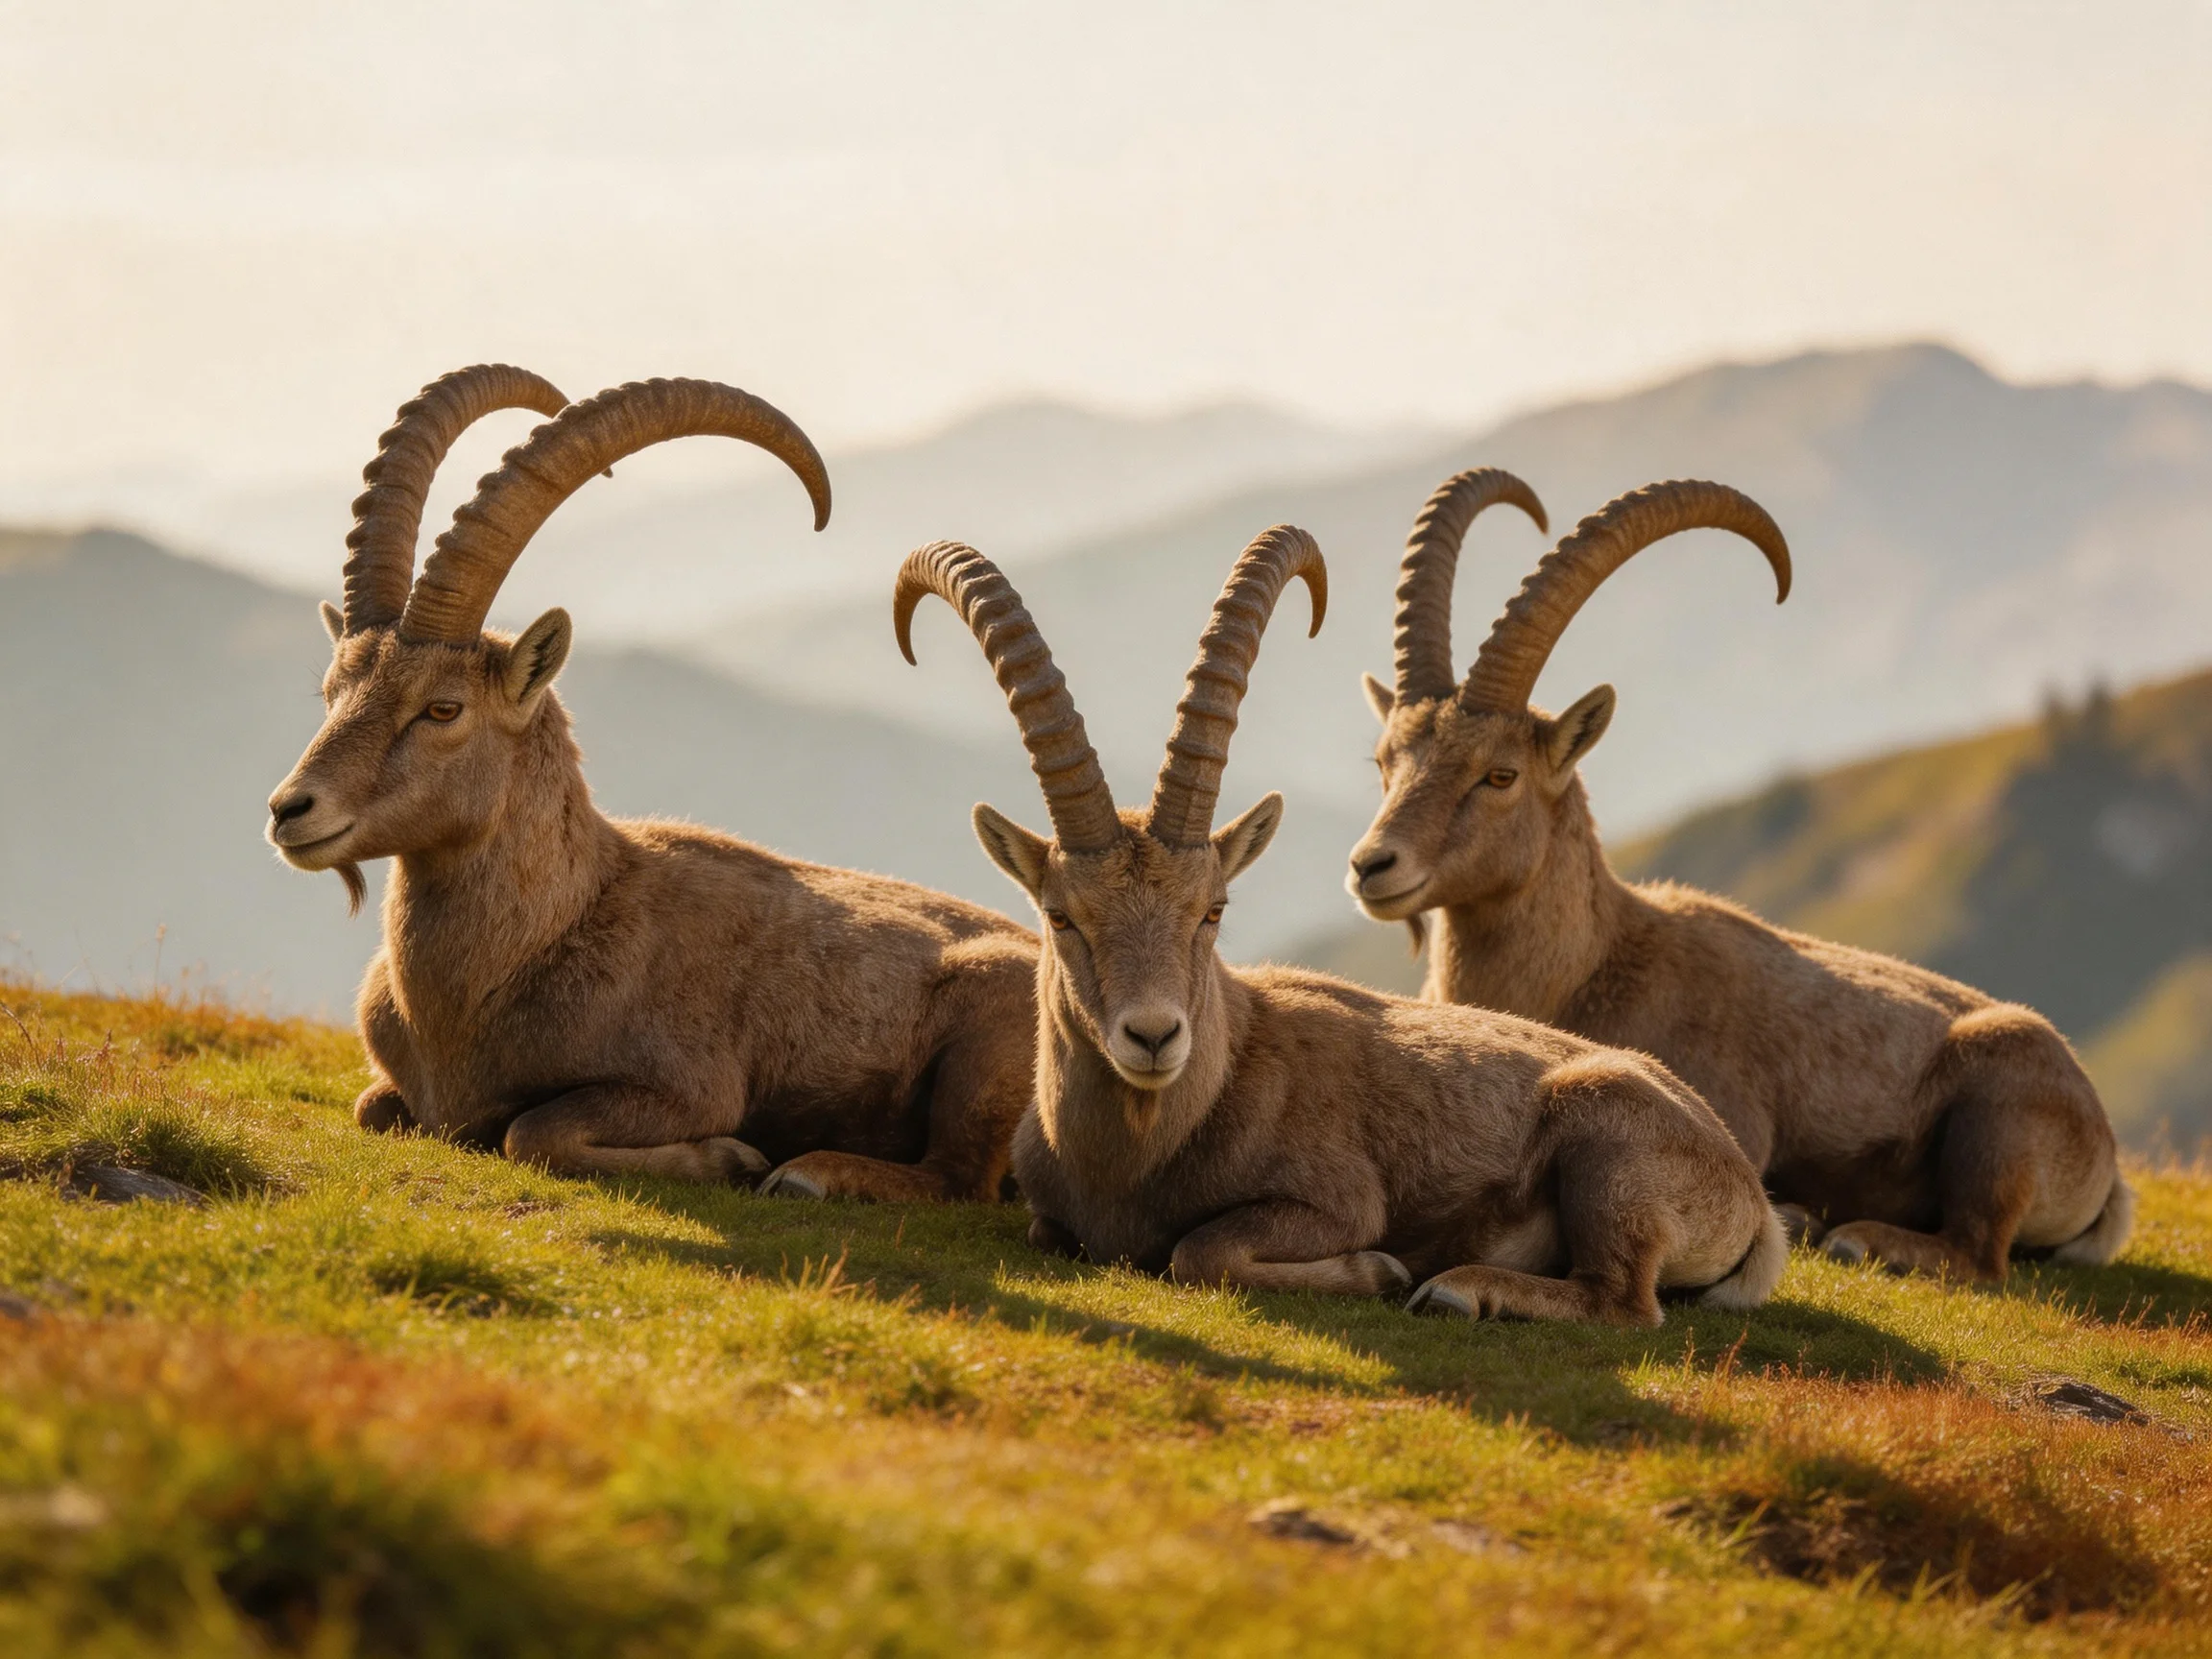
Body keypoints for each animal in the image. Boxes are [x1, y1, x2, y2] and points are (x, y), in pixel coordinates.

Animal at [266, 366, 1037, 1201]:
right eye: (333, 690)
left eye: (443, 707)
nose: (289, 810)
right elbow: (372, 1106)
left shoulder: (688, 1085)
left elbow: (533, 1130)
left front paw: (732, 1158)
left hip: (989, 1046)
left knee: (959, 1177)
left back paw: (809, 1172)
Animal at [895, 528, 1782, 1324]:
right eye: (1060, 915)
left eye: (1212, 909)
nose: (1153, 1037)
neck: (1143, 1154)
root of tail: (1747, 1191)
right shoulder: (1050, 1214)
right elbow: (1053, 1232)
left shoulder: (1336, 1199)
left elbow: (1201, 1250)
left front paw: (1382, 1271)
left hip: (1607, 1144)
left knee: (1625, 1302)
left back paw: (1460, 1289)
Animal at [1346, 470, 2133, 1279]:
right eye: (1384, 761)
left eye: (1499, 774)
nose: (1373, 864)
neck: (1594, 965)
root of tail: (2106, 1164)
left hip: (2000, 1105)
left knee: (1979, 1251)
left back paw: (1849, 1231)